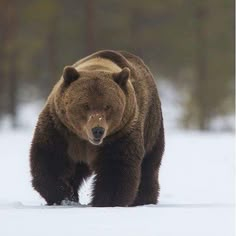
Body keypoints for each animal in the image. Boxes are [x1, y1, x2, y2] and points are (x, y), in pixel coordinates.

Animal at [29, 49, 164, 206]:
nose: (98, 130)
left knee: (149, 165)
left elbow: (116, 167)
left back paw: (144, 200)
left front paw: (105, 201)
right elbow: (51, 159)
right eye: (85, 105)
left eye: (108, 106)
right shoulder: (60, 127)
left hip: (152, 125)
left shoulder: (120, 133)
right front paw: (64, 195)